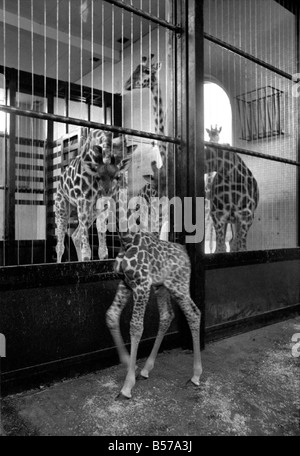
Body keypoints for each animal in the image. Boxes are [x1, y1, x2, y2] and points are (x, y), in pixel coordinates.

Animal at [103, 147, 202, 400]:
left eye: (116, 175)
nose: (105, 195)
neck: (127, 239)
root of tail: (185, 253)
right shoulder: (125, 284)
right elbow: (111, 316)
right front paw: (129, 363)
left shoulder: (141, 285)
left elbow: (136, 327)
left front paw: (127, 386)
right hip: (162, 288)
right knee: (167, 316)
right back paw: (147, 369)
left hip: (179, 286)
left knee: (193, 313)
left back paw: (196, 375)